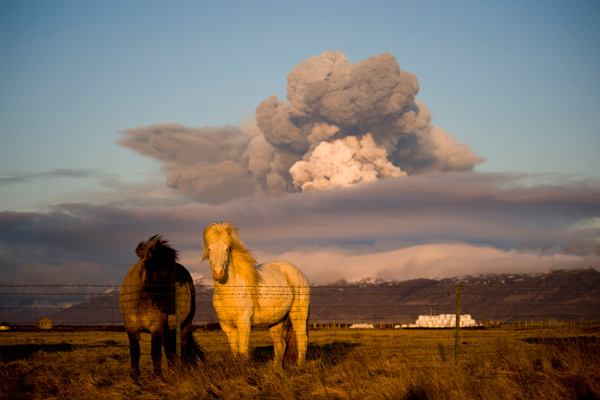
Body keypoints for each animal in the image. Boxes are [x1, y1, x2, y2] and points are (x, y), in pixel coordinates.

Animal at [118, 234, 205, 378]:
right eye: (150, 271)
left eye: (169, 275)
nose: (160, 305)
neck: (140, 302)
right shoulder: (131, 327)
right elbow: (135, 351)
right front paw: (134, 376)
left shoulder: (156, 327)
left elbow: (155, 353)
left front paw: (158, 377)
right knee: (169, 350)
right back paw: (173, 371)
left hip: (184, 326)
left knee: (184, 347)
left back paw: (184, 371)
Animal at [204, 222, 312, 368]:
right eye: (209, 249)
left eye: (227, 248)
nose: (218, 273)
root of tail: (300, 272)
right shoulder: (226, 326)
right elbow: (235, 350)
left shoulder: (244, 323)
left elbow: (243, 350)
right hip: (276, 321)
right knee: (280, 345)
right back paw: (276, 369)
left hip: (298, 315)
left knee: (302, 340)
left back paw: (300, 366)